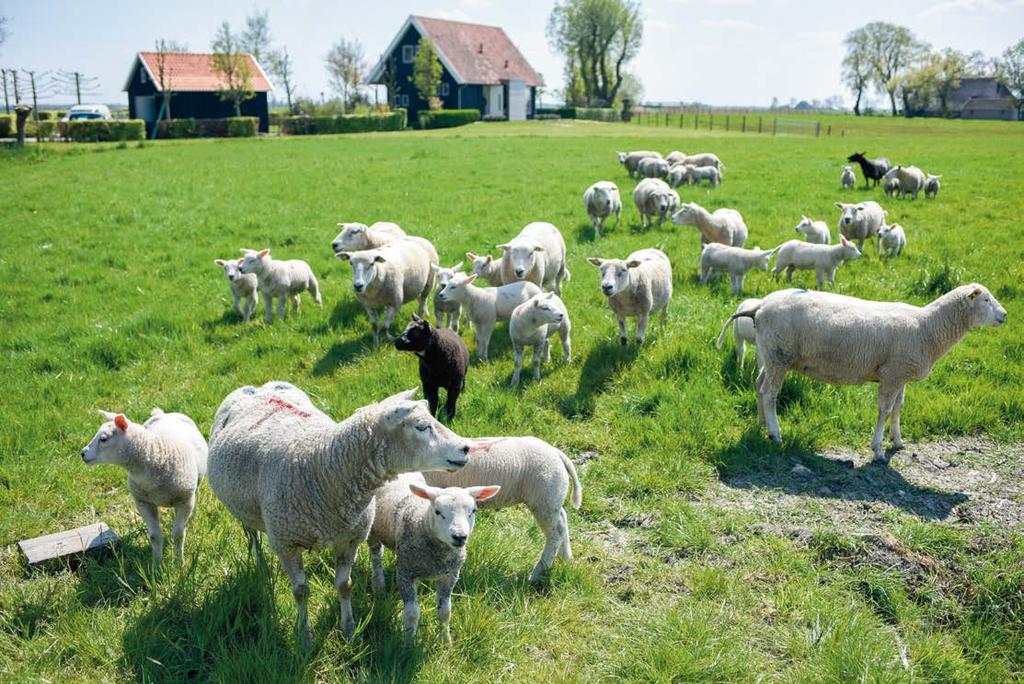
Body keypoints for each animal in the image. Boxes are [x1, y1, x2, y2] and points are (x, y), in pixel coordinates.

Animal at [81, 409, 207, 565]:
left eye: (103, 439)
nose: (82, 453)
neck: (157, 456)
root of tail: (164, 413)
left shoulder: (185, 500)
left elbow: (178, 535)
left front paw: (179, 563)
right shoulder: (143, 502)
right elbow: (154, 535)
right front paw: (157, 563)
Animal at [208, 385, 479, 647]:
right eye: (421, 426)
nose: (466, 448)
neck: (322, 467)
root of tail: (258, 387)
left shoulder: (351, 538)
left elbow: (344, 585)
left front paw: (349, 630)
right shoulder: (286, 542)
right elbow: (300, 591)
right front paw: (305, 638)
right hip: (243, 509)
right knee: (252, 534)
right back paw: (261, 565)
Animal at [368, 475, 499, 647]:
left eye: (473, 511)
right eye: (438, 511)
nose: (459, 537)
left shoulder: (450, 575)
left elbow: (445, 612)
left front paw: (447, 643)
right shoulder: (405, 572)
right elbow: (411, 614)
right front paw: (409, 645)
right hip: (372, 530)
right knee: (376, 556)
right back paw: (379, 586)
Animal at [423, 438, 585, 581]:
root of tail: (556, 452)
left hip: (544, 497)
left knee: (555, 533)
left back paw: (537, 573)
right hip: (551, 498)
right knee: (562, 520)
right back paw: (566, 559)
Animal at [720, 282, 1007, 458]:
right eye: (986, 299)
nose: (1004, 315)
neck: (928, 328)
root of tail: (760, 307)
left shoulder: (900, 374)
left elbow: (899, 409)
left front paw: (897, 440)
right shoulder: (892, 374)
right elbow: (885, 410)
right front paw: (878, 449)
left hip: (771, 355)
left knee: (759, 386)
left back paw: (760, 424)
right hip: (779, 354)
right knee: (770, 393)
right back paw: (775, 433)